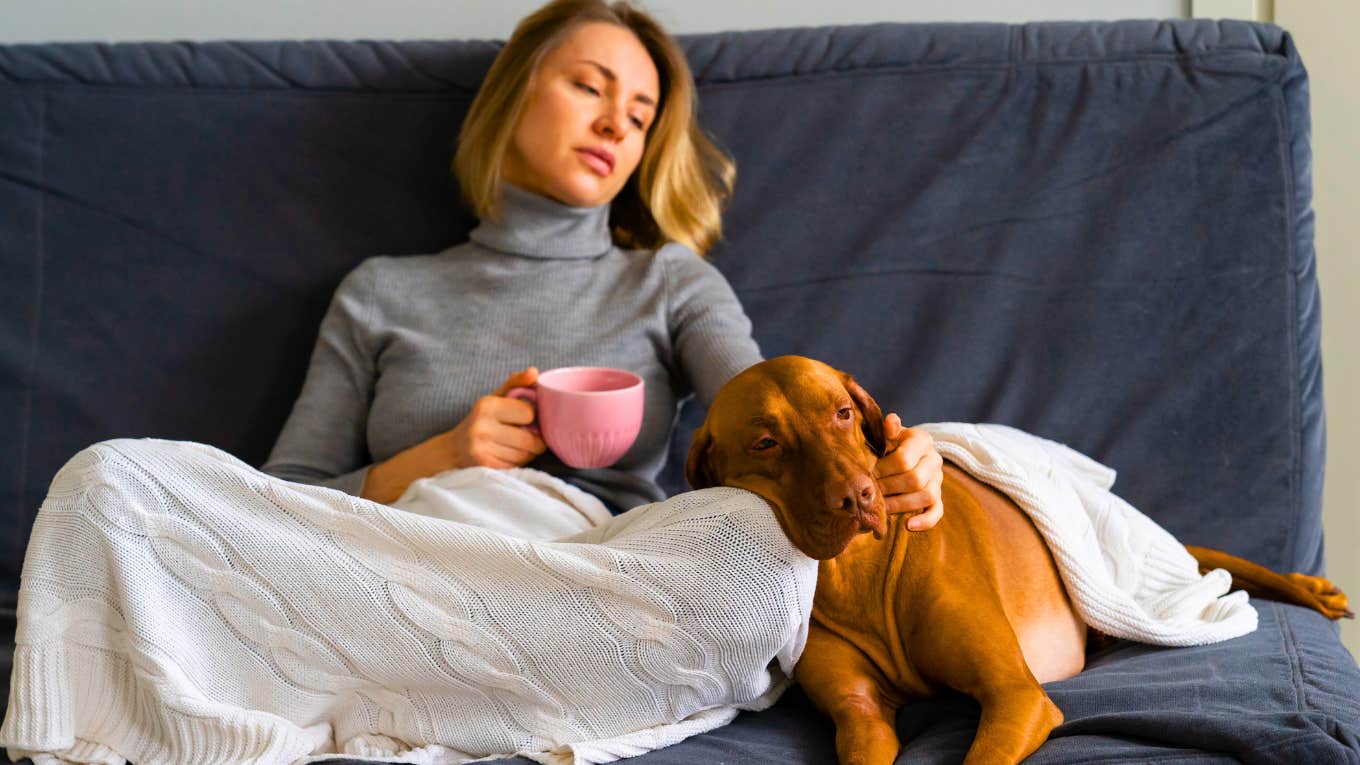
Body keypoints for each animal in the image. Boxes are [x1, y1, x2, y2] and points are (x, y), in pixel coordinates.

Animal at [685, 356, 1354, 762]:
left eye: (843, 413)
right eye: (766, 442)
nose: (858, 497)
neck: (860, 576)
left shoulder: (1016, 696)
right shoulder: (860, 716)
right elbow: (864, 727)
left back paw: (1314, 590)